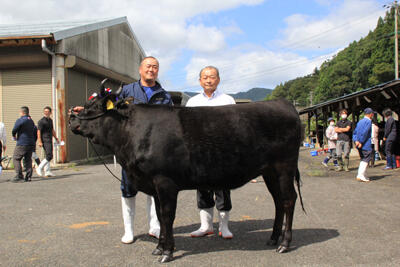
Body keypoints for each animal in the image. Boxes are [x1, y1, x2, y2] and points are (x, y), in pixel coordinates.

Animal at [70, 84, 304, 264]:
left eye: (93, 107)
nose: (72, 119)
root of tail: (284, 104)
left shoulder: (164, 181)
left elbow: (167, 215)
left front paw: (167, 252)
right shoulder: (153, 184)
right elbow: (159, 216)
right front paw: (159, 247)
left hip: (284, 166)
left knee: (288, 200)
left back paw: (284, 243)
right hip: (269, 171)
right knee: (278, 201)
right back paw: (273, 238)